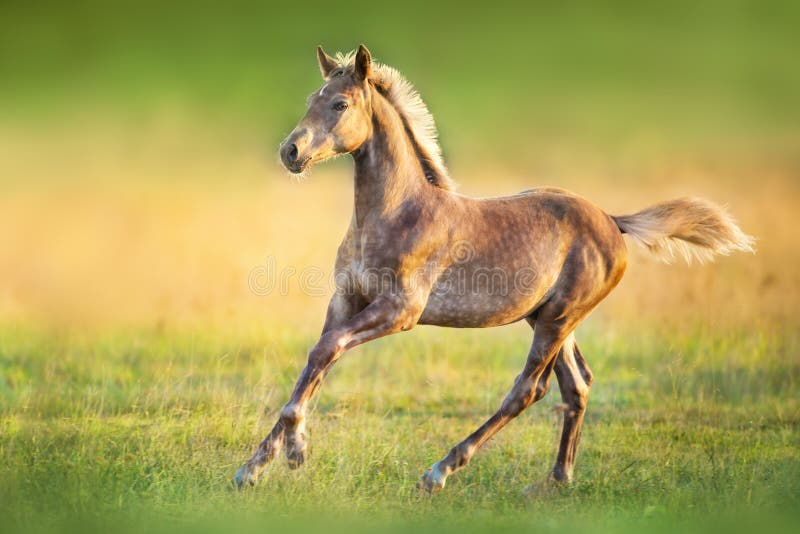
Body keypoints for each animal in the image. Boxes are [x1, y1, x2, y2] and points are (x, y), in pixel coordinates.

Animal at [233, 45, 756, 494]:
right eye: (311, 100)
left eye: (340, 104)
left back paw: (440, 472)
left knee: (528, 390)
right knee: (576, 385)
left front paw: (296, 452)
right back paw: (555, 481)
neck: (395, 211)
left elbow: (326, 351)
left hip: (557, 319)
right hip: (548, 318)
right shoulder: (345, 300)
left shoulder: (401, 310)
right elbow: (317, 361)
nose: (291, 152)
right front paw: (255, 467)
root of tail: (613, 221)